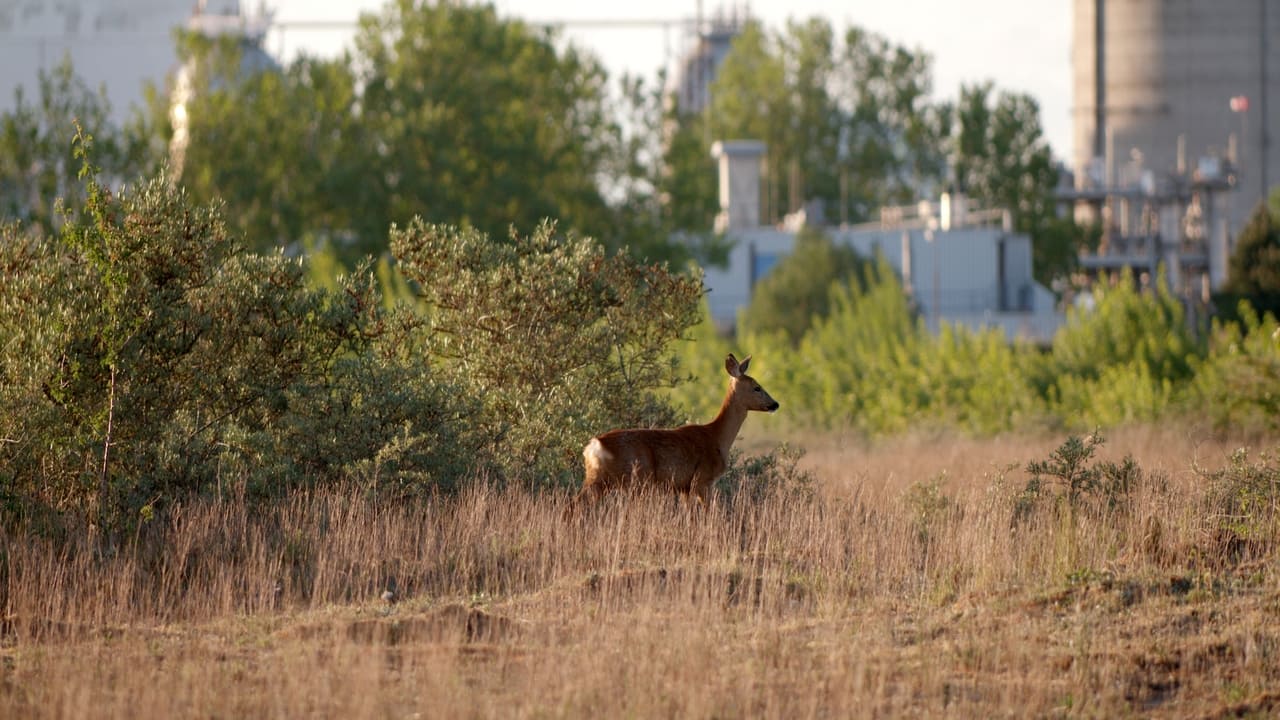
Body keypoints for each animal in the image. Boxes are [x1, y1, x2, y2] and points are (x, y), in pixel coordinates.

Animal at [570, 353, 778, 509]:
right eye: (757, 387)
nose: (775, 404)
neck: (717, 438)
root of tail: (593, 446)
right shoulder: (702, 480)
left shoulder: (684, 488)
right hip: (634, 479)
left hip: (597, 478)